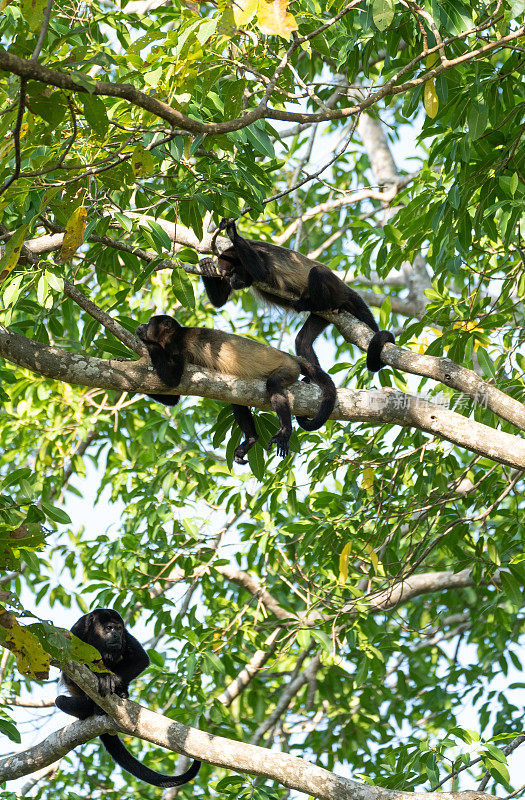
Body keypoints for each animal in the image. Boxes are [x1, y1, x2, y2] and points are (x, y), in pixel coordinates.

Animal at [54, 612, 200, 788]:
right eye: (109, 628)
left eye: (118, 628)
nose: (116, 635)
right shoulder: (77, 631)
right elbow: (69, 671)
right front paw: (103, 677)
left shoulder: (126, 636)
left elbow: (141, 659)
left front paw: (111, 680)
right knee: (60, 700)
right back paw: (90, 707)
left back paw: (119, 693)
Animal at [136, 312, 336, 462]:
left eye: (149, 323)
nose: (141, 326)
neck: (170, 336)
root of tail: (292, 358)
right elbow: (173, 397)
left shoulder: (175, 345)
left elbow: (173, 380)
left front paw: (149, 345)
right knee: (236, 400)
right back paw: (251, 439)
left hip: (289, 369)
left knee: (273, 385)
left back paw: (285, 431)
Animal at [200, 220, 392, 374]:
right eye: (226, 276)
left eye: (233, 273)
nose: (232, 282)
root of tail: (345, 288)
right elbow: (220, 302)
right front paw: (206, 266)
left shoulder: (260, 254)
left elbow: (262, 273)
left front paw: (233, 232)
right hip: (324, 316)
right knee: (302, 341)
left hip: (336, 292)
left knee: (317, 272)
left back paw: (311, 303)